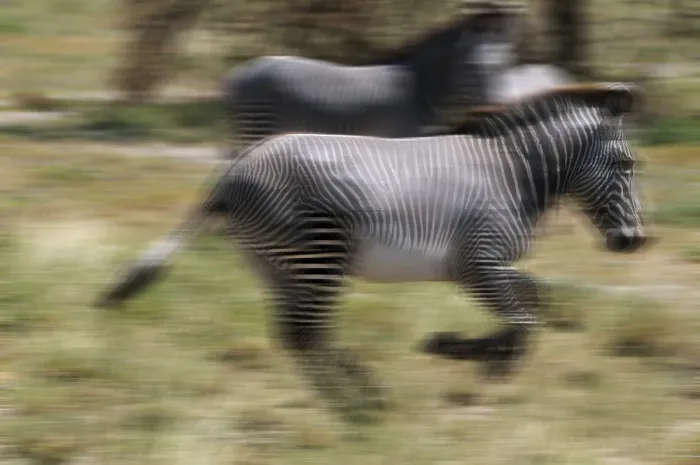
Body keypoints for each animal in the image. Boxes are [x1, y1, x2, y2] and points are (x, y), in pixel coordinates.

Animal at [93, 82, 654, 415]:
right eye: (627, 164)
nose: (633, 242)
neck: (512, 176)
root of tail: (232, 175)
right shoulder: (476, 262)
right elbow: (524, 317)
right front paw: (464, 352)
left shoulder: (482, 266)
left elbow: (535, 299)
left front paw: (486, 358)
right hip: (320, 255)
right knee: (306, 334)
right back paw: (362, 400)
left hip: (275, 265)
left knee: (296, 336)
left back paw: (355, 398)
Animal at [219, 2, 521, 160]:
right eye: (470, 68)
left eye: (505, 65)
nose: (492, 111)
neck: (419, 92)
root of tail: (242, 71)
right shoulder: (398, 140)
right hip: (259, 127)